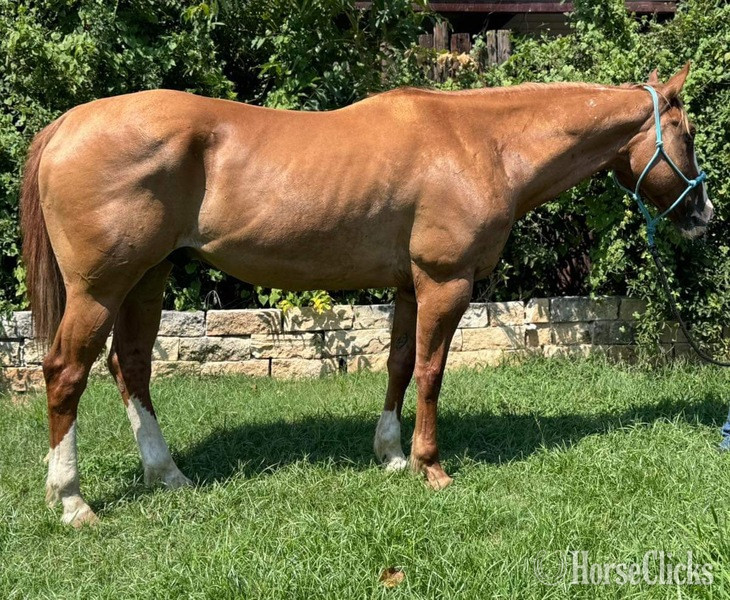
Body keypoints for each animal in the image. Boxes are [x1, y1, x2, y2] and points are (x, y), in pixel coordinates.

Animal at [20, 63, 713, 526]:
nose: (704, 214)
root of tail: (66, 124)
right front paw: (431, 466)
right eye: (687, 134)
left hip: (149, 277)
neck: (482, 143)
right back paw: (73, 501)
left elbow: (400, 365)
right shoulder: (444, 282)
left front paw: (391, 455)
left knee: (130, 366)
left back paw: (168, 476)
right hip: (101, 287)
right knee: (65, 372)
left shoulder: (409, 285)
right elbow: (432, 371)